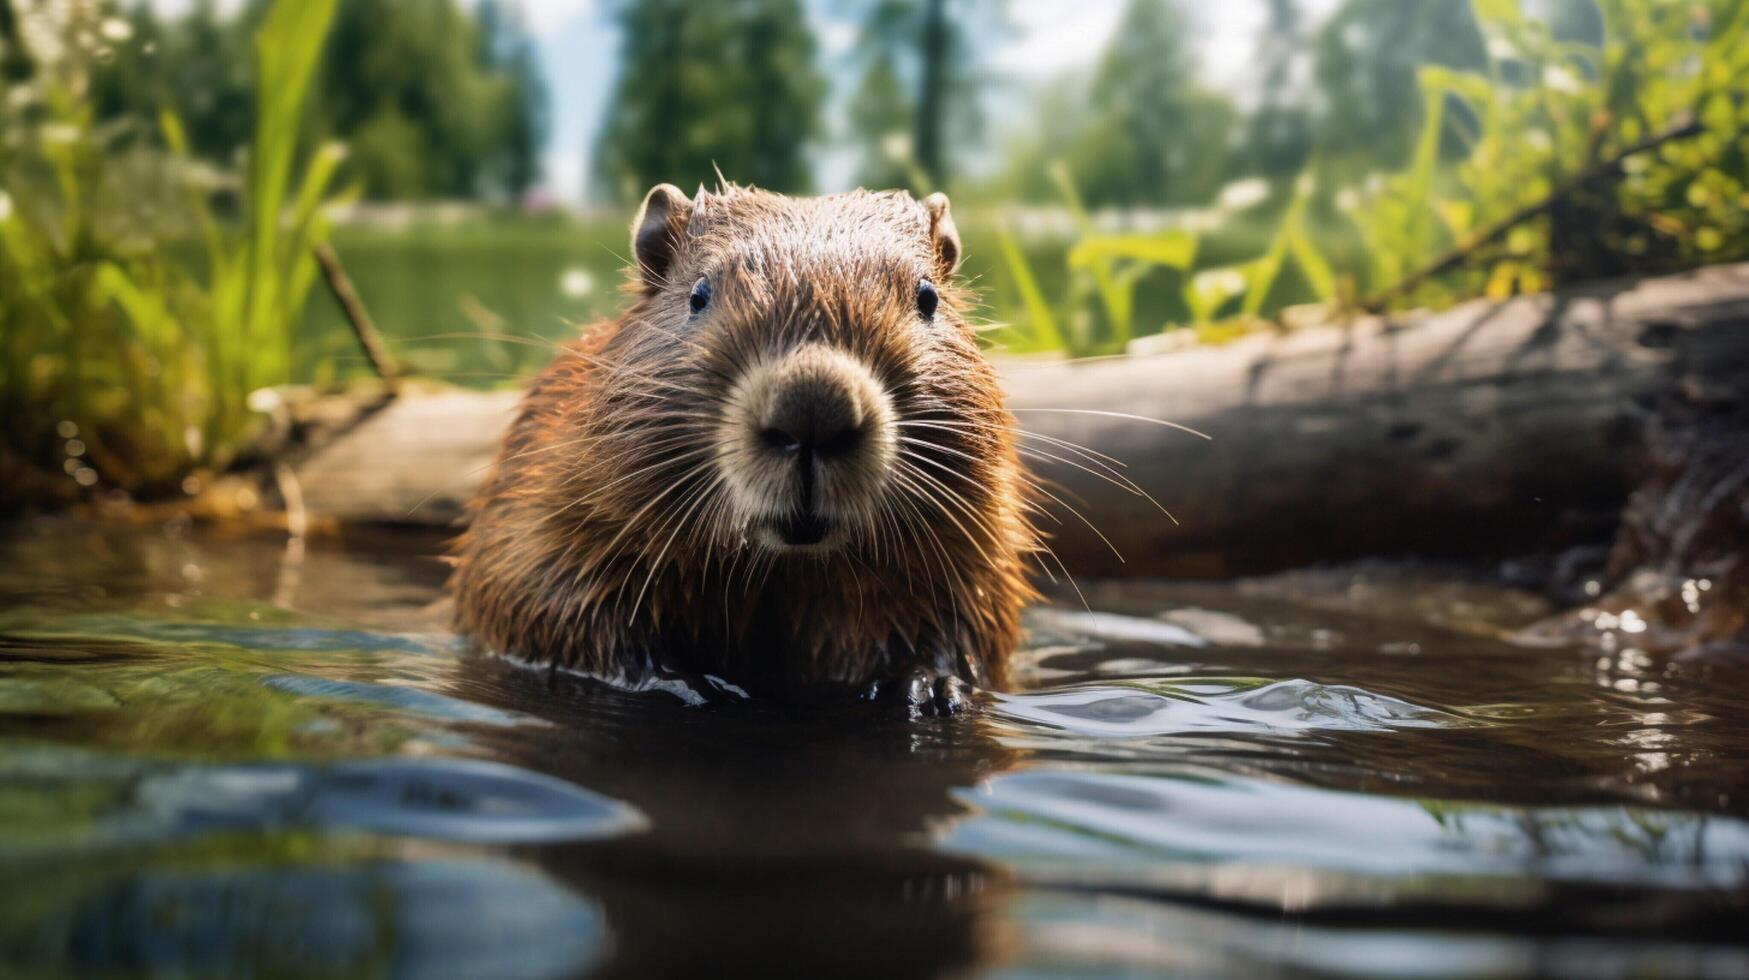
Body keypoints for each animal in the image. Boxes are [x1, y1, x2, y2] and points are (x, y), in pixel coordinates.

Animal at [451, 183, 1035, 717]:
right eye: (699, 294)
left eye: (927, 298)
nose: (813, 406)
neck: (788, 569)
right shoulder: (545, 486)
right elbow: (533, 591)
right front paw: (690, 683)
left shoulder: (976, 531)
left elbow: (973, 610)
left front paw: (926, 685)